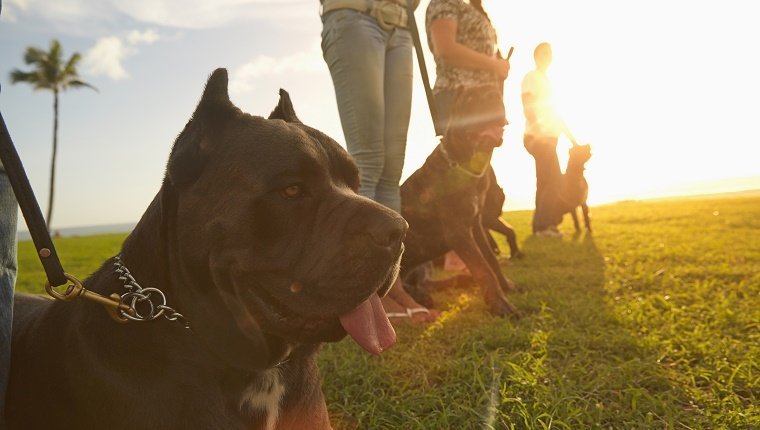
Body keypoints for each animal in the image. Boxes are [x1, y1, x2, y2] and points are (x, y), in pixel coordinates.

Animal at [400, 87, 520, 316]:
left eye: (495, 93)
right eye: (470, 98)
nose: (492, 95)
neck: (463, 164)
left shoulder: (476, 225)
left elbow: (490, 259)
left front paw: (506, 286)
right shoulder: (459, 233)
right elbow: (483, 268)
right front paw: (500, 304)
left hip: (423, 266)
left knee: (424, 283)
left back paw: (457, 281)